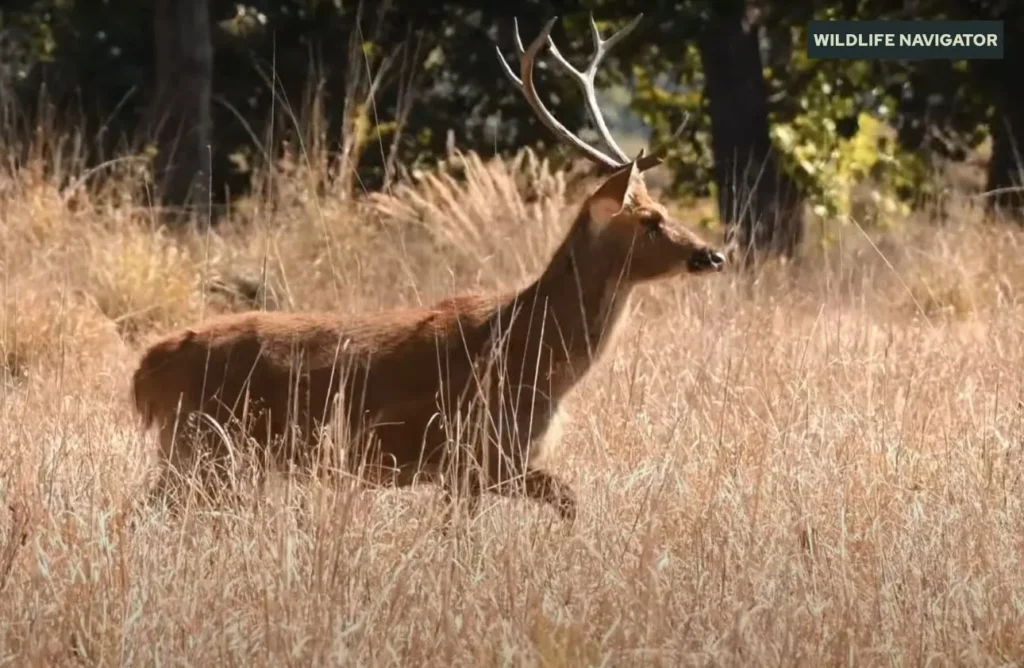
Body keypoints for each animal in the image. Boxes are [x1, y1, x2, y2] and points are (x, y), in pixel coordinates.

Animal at [129, 13, 727, 524]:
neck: (534, 352)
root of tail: (147, 369)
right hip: (207, 445)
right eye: (651, 220)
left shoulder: (470, 467)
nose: (712, 254)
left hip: (203, 451)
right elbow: (565, 500)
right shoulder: (479, 450)